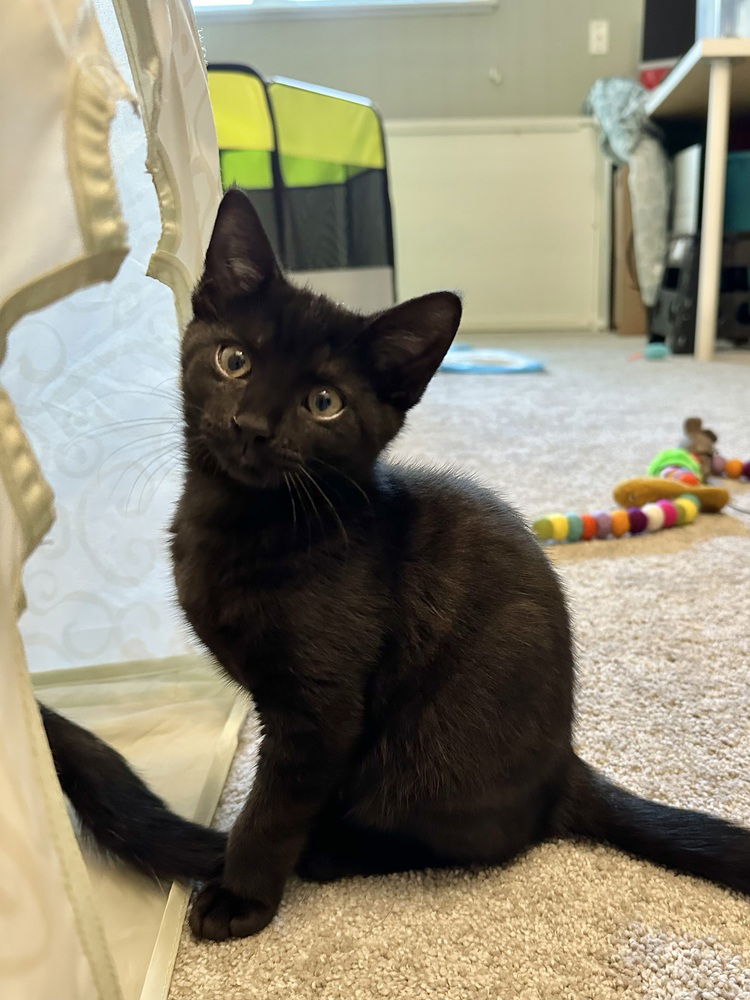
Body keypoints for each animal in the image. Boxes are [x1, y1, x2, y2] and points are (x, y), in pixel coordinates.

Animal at [172, 191, 750, 940]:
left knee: (486, 839)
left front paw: (240, 894)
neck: (246, 522)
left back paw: (335, 849)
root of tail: (562, 768)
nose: (251, 427)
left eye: (323, 403)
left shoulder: (320, 712)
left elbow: (272, 811)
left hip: (425, 760)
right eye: (234, 360)